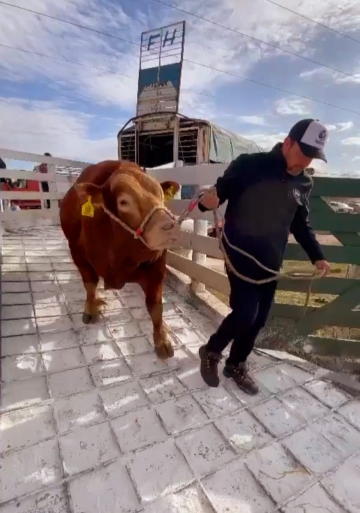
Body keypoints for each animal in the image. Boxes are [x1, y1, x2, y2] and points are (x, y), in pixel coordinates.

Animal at [60, 159, 183, 356]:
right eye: (124, 202)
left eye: (161, 196)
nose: (170, 227)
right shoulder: (78, 255)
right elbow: (90, 285)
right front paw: (90, 309)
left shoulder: (157, 267)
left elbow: (156, 307)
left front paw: (162, 340)